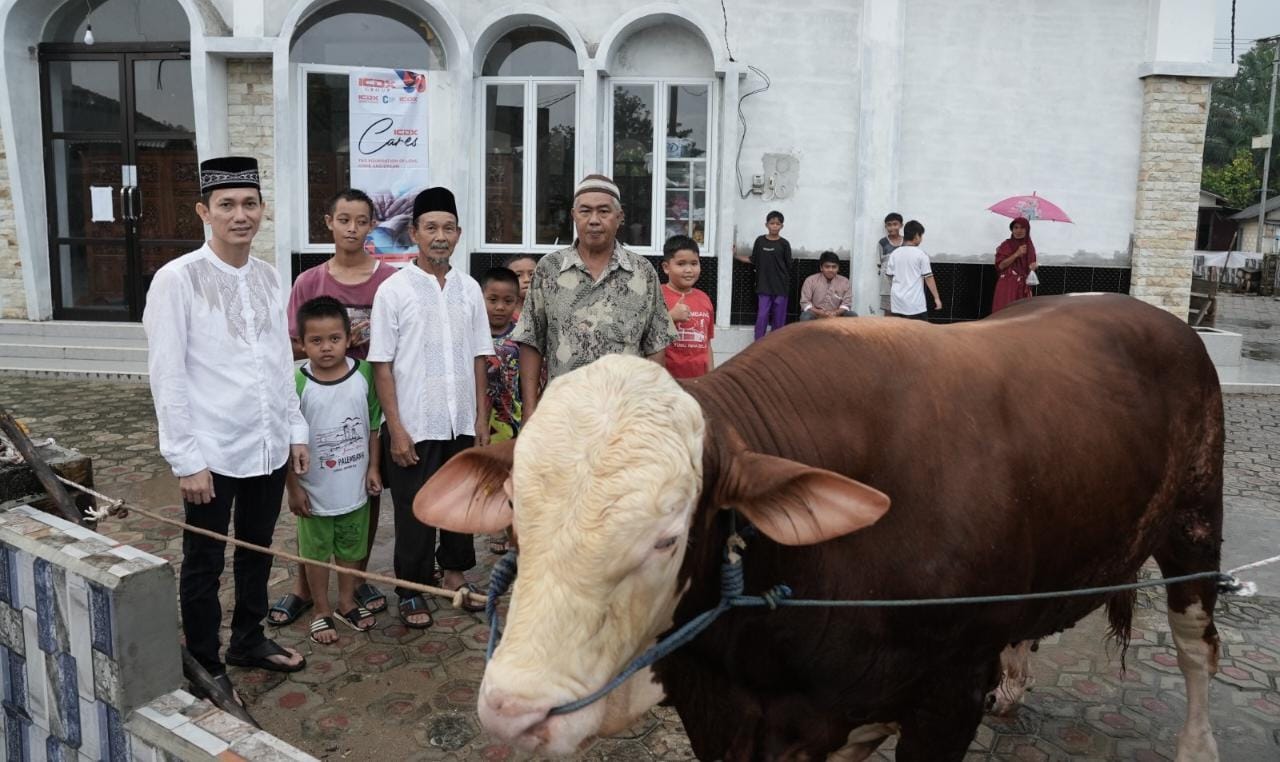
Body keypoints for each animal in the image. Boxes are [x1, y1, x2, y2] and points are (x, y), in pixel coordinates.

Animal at [414, 294, 1223, 758]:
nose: (514, 712)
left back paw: (1197, 745)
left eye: (668, 538)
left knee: (1197, 649)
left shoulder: (947, 696)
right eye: (517, 517)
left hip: (1194, 526)